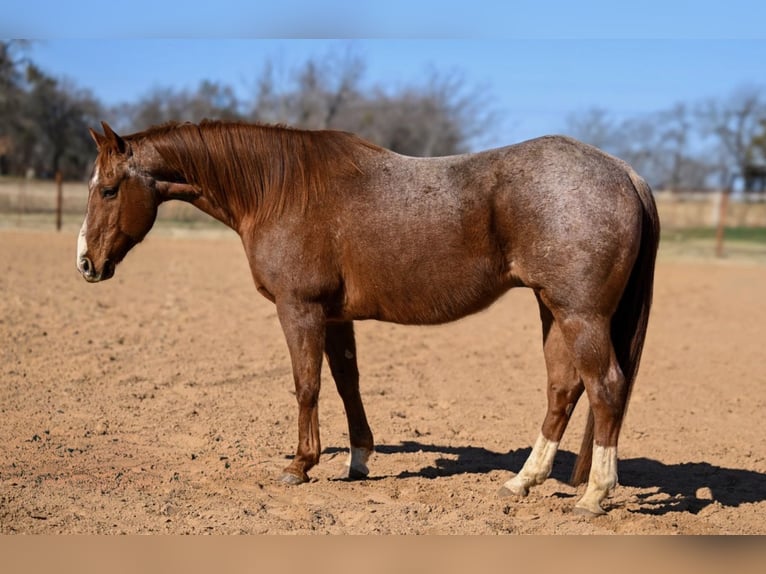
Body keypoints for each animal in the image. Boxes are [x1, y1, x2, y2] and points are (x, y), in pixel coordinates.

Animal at [77, 120, 659, 516]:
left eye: (108, 189)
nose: (86, 263)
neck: (280, 190)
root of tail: (625, 173)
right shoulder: (336, 318)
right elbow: (346, 382)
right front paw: (357, 461)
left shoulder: (300, 309)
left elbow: (306, 385)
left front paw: (300, 465)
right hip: (552, 309)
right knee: (564, 389)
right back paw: (523, 480)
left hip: (579, 314)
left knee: (605, 387)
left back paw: (594, 495)